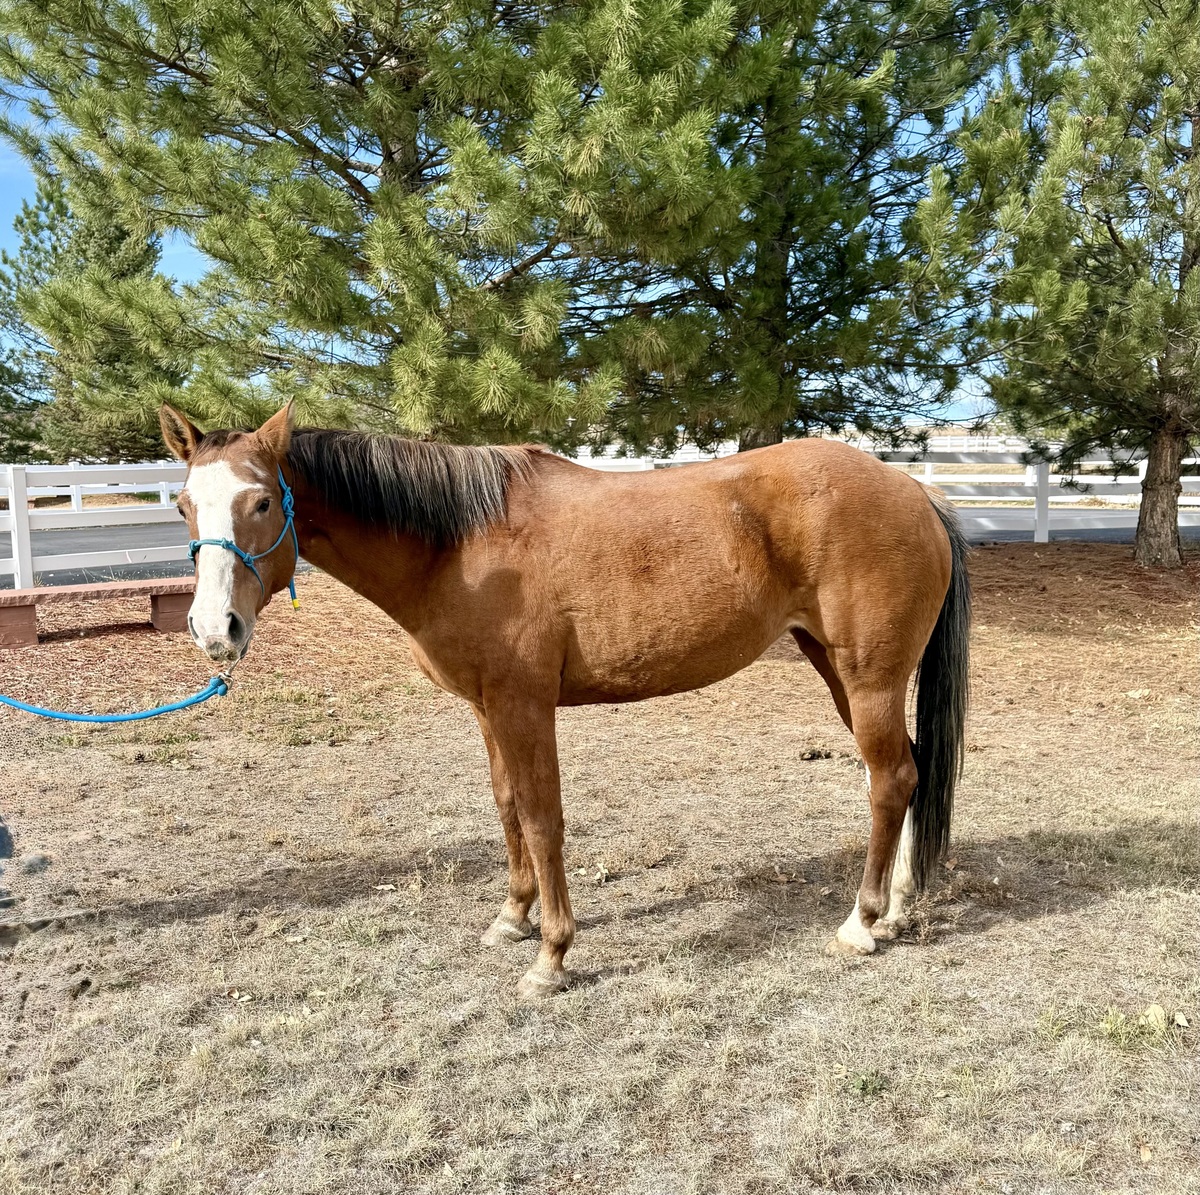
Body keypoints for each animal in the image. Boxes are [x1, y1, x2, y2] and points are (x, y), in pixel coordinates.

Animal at [160, 402, 970, 1000]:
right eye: (184, 505)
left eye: (263, 500)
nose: (214, 629)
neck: (460, 544)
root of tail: (916, 493)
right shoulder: (488, 709)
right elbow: (508, 807)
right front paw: (512, 918)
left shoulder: (524, 706)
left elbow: (543, 818)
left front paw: (551, 955)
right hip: (838, 669)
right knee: (903, 772)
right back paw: (898, 908)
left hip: (867, 678)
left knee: (890, 779)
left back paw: (862, 921)